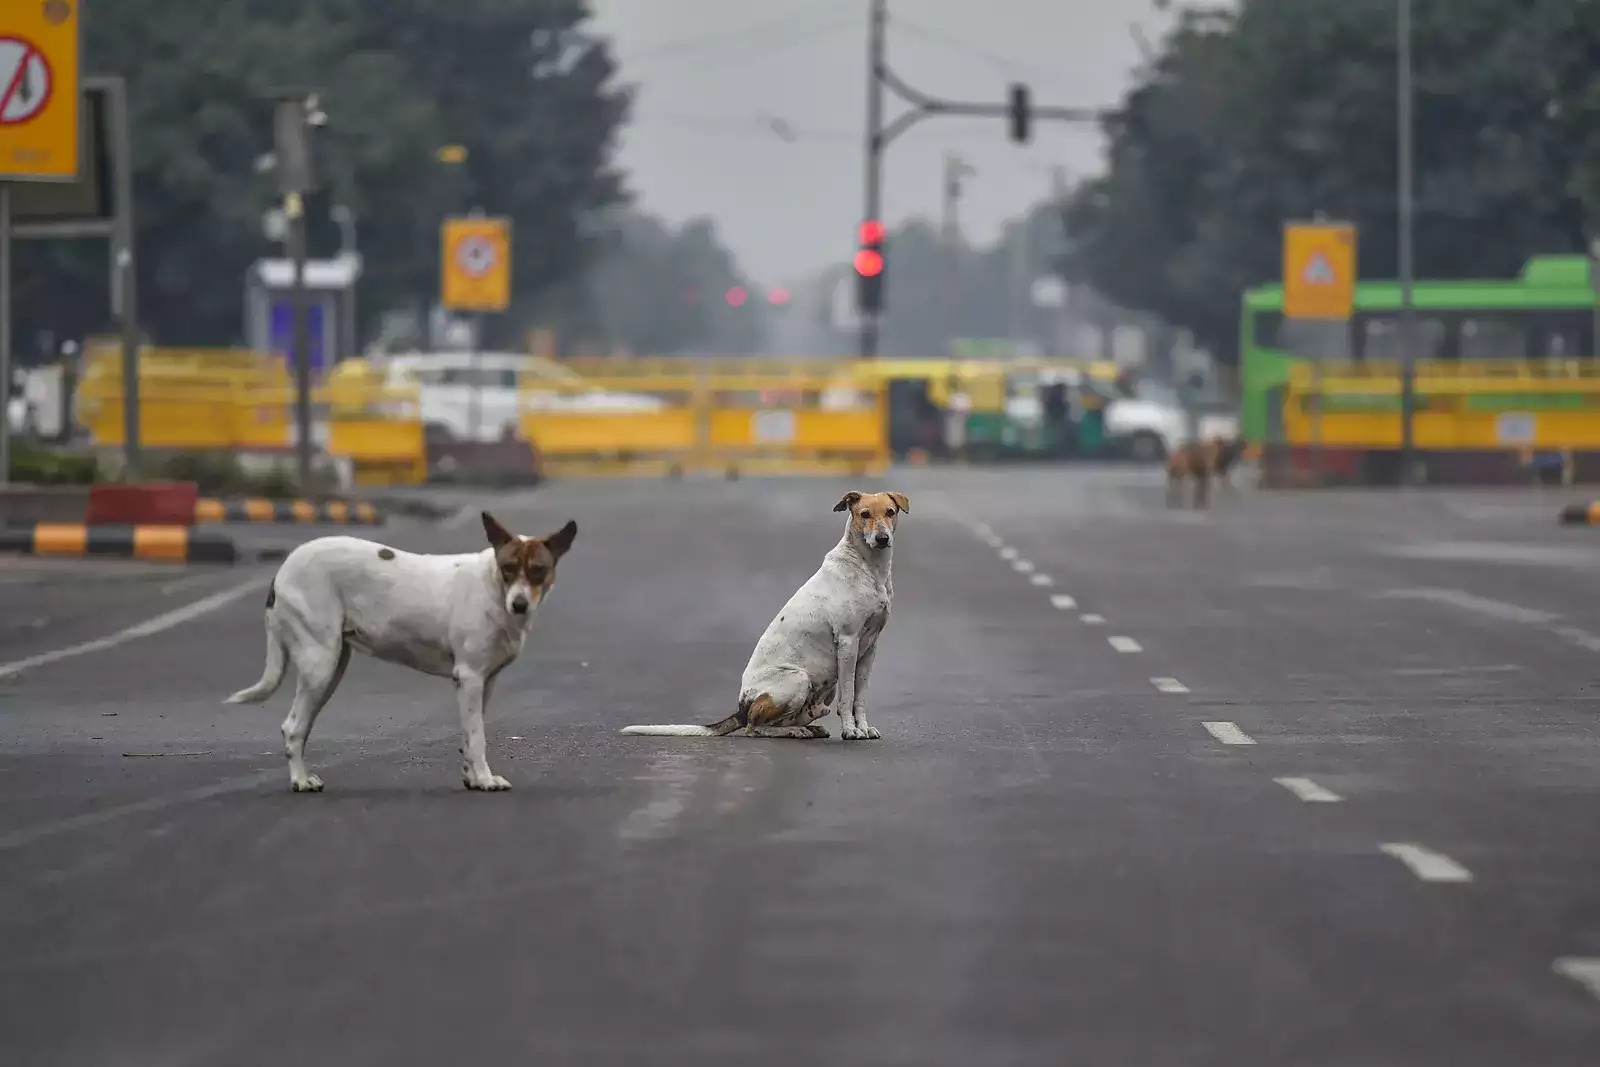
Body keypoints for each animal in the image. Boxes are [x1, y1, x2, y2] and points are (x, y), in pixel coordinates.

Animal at [225, 511, 576, 796]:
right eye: (508, 569)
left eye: (538, 571)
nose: (519, 604)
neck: (493, 589)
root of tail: (283, 569)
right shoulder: (470, 677)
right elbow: (477, 738)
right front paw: (486, 780)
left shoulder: (483, 683)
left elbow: (469, 733)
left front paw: (473, 778)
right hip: (319, 664)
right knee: (293, 726)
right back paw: (300, 780)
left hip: (332, 667)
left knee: (302, 725)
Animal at [617, 495, 908, 739]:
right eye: (864, 514)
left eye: (890, 512)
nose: (882, 538)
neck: (868, 567)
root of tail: (742, 708)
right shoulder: (848, 643)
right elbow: (848, 697)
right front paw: (850, 730)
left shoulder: (869, 648)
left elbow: (859, 697)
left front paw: (863, 728)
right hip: (798, 678)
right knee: (754, 728)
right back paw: (793, 732)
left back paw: (807, 728)